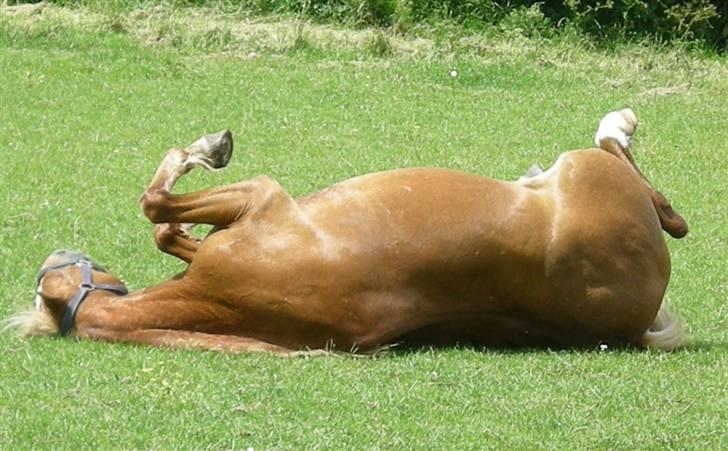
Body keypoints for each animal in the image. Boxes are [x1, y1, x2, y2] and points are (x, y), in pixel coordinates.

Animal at [5, 108, 688, 354]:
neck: (225, 299)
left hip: (587, 170)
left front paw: (205, 152)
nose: (58, 252)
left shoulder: (260, 197)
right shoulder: (256, 205)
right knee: (666, 207)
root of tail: (639, 319)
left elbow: (157, 212)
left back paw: (618, 122)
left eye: (48, 280)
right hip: (591, 174)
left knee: (668, 208)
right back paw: (617, 124)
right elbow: (159, 215)